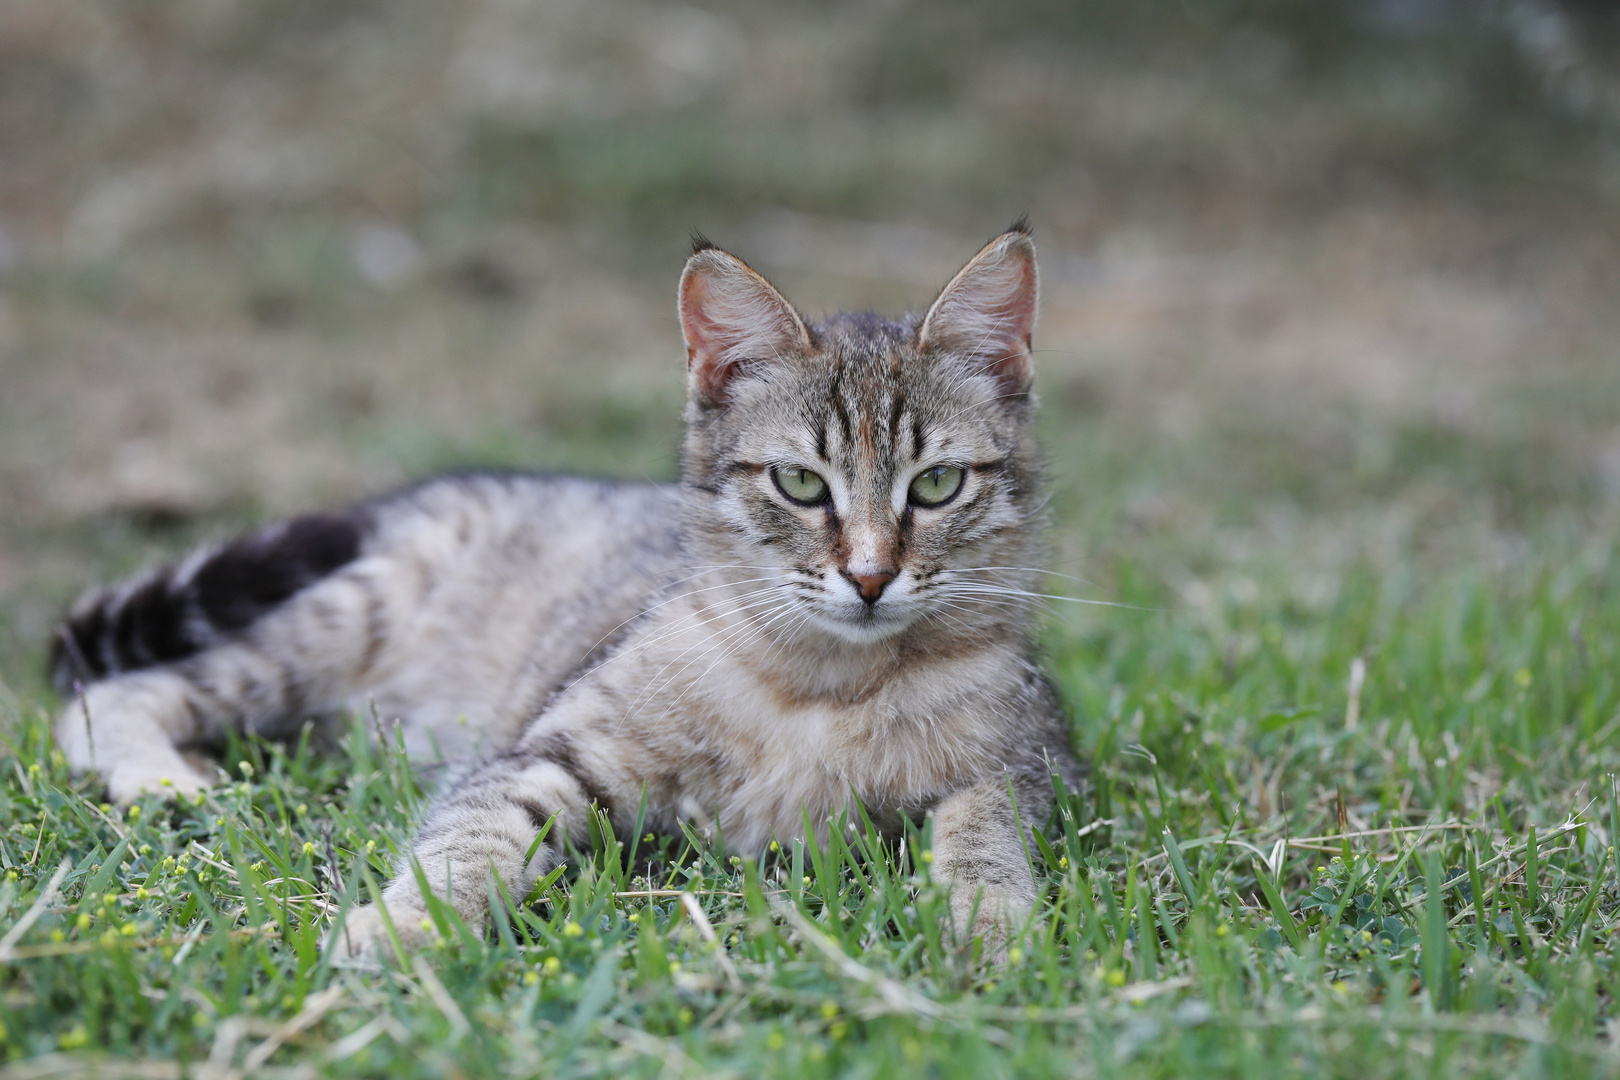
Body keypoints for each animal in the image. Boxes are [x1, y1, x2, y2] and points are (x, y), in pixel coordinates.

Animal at [47, 223, 1088, 958]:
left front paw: (989, 928)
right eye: (800, 483)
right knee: (114, 693)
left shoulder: (1027, 770)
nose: (870, 575)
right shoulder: (553, 752)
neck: (826, 686)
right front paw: (406, 931)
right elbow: (469, 839)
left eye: (936, 485)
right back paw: (162, 776)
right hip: (327, 631)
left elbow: (986, 830)